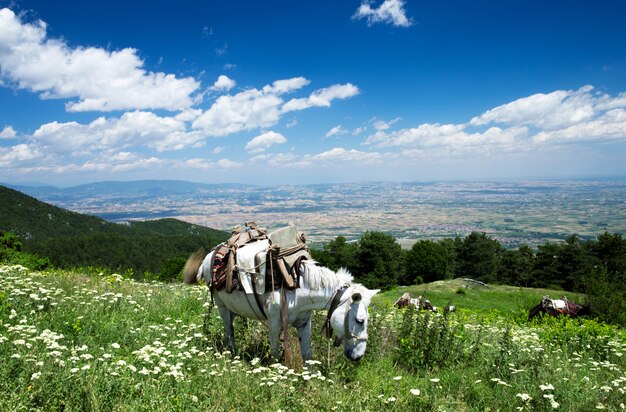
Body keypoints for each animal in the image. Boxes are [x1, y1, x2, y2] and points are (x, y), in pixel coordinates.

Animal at [180, 243, 376, 362]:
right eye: (360, 321)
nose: (359, 357)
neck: (298, 285)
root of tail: (210, 255)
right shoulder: (274, 322)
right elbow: (275, 353)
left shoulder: (304, 322)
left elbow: (307, 355)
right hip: (222, 306)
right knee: (229, 331)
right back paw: (232, 355)